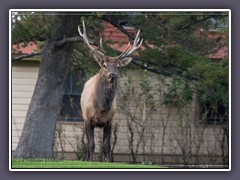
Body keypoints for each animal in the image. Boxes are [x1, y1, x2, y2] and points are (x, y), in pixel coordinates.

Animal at [79, 20, 142, 162]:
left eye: (118, 66)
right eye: (104, 65)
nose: (112, 75)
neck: (101, 108)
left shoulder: (109, 121)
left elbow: (106, 146)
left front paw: (107, 162)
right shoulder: (88, 119)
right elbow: (91, 144)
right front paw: (90, 161)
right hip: (83, 118)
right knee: (87, 143)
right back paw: (86, 158)